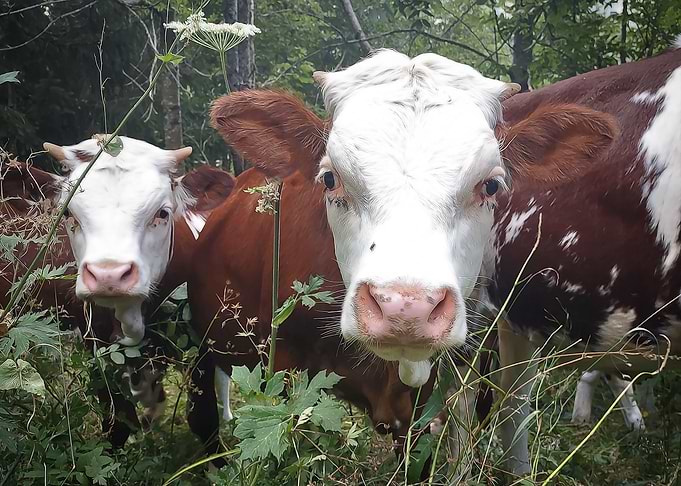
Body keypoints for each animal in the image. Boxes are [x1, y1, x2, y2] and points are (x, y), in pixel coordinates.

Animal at [1, 150, 235, 451]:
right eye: (68, 214)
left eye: (162, 212)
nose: (108, 275)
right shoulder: (96, 340)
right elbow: (117, 424)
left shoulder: (201, 339)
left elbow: (203, 418)